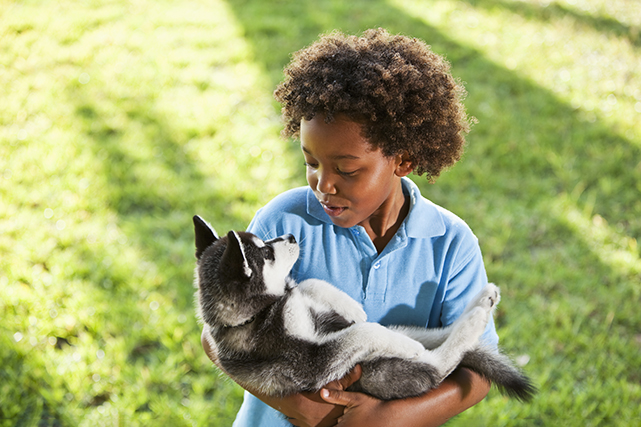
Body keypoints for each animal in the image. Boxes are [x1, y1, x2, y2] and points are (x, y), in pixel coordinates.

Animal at [192, 216, 532, 402]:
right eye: (266, 253)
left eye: (266, 244)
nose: (289, 235)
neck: (263, 311)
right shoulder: (311, 362)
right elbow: (361, 333)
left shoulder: (306, 305)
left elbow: (308, 284)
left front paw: (350, 304)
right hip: (380, 372)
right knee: (438, 360)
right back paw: (468, 321)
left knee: (429, 333)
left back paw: (481, 301)